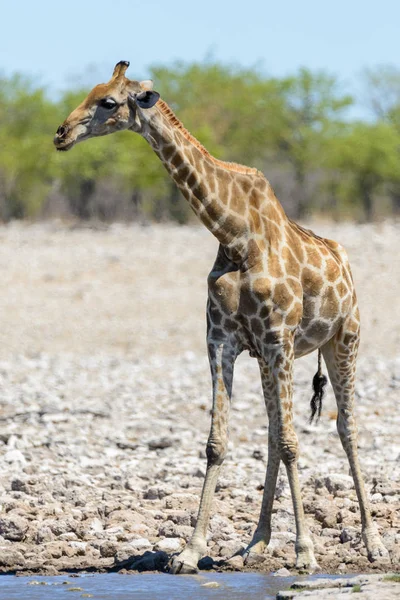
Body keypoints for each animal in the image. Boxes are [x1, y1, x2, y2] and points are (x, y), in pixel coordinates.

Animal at [53, 61, 388, 572]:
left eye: (108, 102)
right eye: (91, 92)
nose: (61, 134)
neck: (234, 235)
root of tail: (345, 261)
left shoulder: (278, 338)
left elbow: (293, 442)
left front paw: (306, 552)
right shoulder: (223, 340)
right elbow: (220, 443)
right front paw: (190, 551)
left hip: (343, 340)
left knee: (346, 428)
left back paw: (372, 542)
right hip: (274, 359)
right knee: (273, 432)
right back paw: (256, 542)